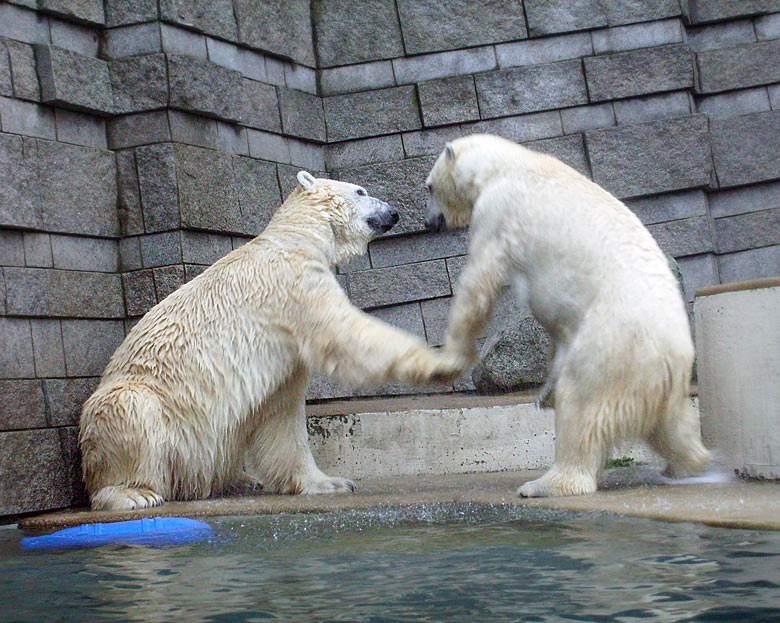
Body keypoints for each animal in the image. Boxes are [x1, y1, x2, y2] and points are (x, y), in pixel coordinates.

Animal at [80, 172, 460, 512]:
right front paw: (438, 363)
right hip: (147, 403)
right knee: (132, 411)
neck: (296, 238)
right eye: (360, 190)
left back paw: (241, 480)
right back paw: (133, 494)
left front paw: (329, 482)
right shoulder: (294, 285)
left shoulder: (283, 349)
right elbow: (346, 331)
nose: (394, 212)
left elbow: (281, 413)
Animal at [426, 134, 712, 500]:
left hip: (610, 347)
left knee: (581, 405)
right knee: (673, 426)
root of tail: (668, 358)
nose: (429, 222)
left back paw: (545, 484)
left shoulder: (498, 212)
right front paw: (543, 389)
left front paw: (448, 360)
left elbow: (479, 281)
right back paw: (689, 465)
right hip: (660, 382)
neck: (507, 165)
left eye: (429, 187)